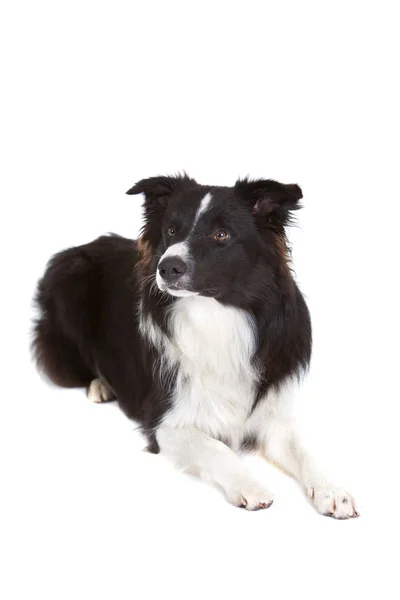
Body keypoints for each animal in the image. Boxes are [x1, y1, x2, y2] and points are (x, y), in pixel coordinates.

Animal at [32, 173, 360, 516]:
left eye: (221, 235)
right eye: (172, 230)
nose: (167, 267)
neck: (216, 317)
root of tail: (85, 244)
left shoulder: (270, 415)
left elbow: (304, 451)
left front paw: (332, 490)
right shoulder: (165, 423)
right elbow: (216, 448)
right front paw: (250, 486)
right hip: (68, 280)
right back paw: (100, 386)